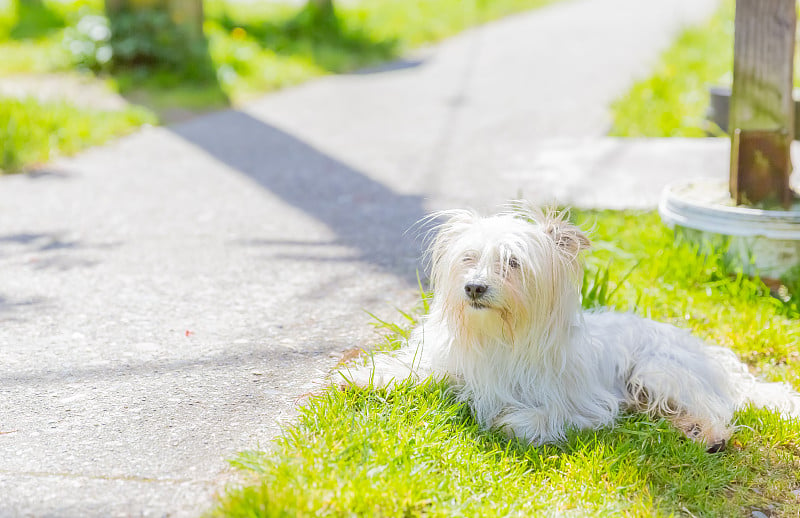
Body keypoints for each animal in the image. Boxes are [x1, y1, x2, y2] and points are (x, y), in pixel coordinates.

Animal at [340, 205, 800, 452]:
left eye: (513, 262)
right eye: (468, 259)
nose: (473, 287)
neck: (498, 334)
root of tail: (711, 355)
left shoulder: (583, 402)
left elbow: (536, 417)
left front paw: (510, 421)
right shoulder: (446, 361)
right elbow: (410, 368)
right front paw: (364, 377)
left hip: (659, 370)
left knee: (717, 406)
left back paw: (708, 433)